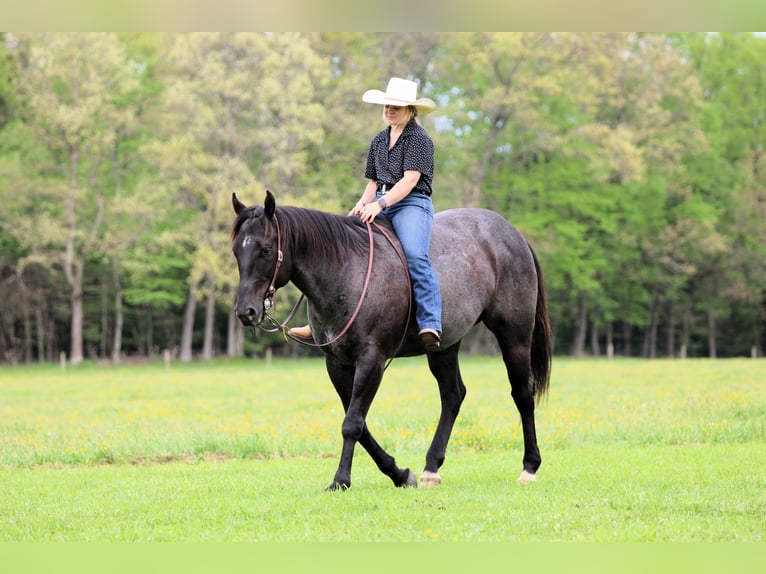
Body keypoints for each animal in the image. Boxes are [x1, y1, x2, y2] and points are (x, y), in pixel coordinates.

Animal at [231, 190, 552, 490]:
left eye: (266, 249)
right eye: (236, 251)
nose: (246, 311)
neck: (345, 270)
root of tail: (512, 233)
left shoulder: (372, 360)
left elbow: (352, 424)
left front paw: (341, 479)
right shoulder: (337, 363)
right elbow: (359, 423)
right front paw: (399, 473)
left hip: (514, 336)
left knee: (522, 393)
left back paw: (529, 467)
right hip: (444, 345)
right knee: (452, 395)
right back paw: (431, 468)